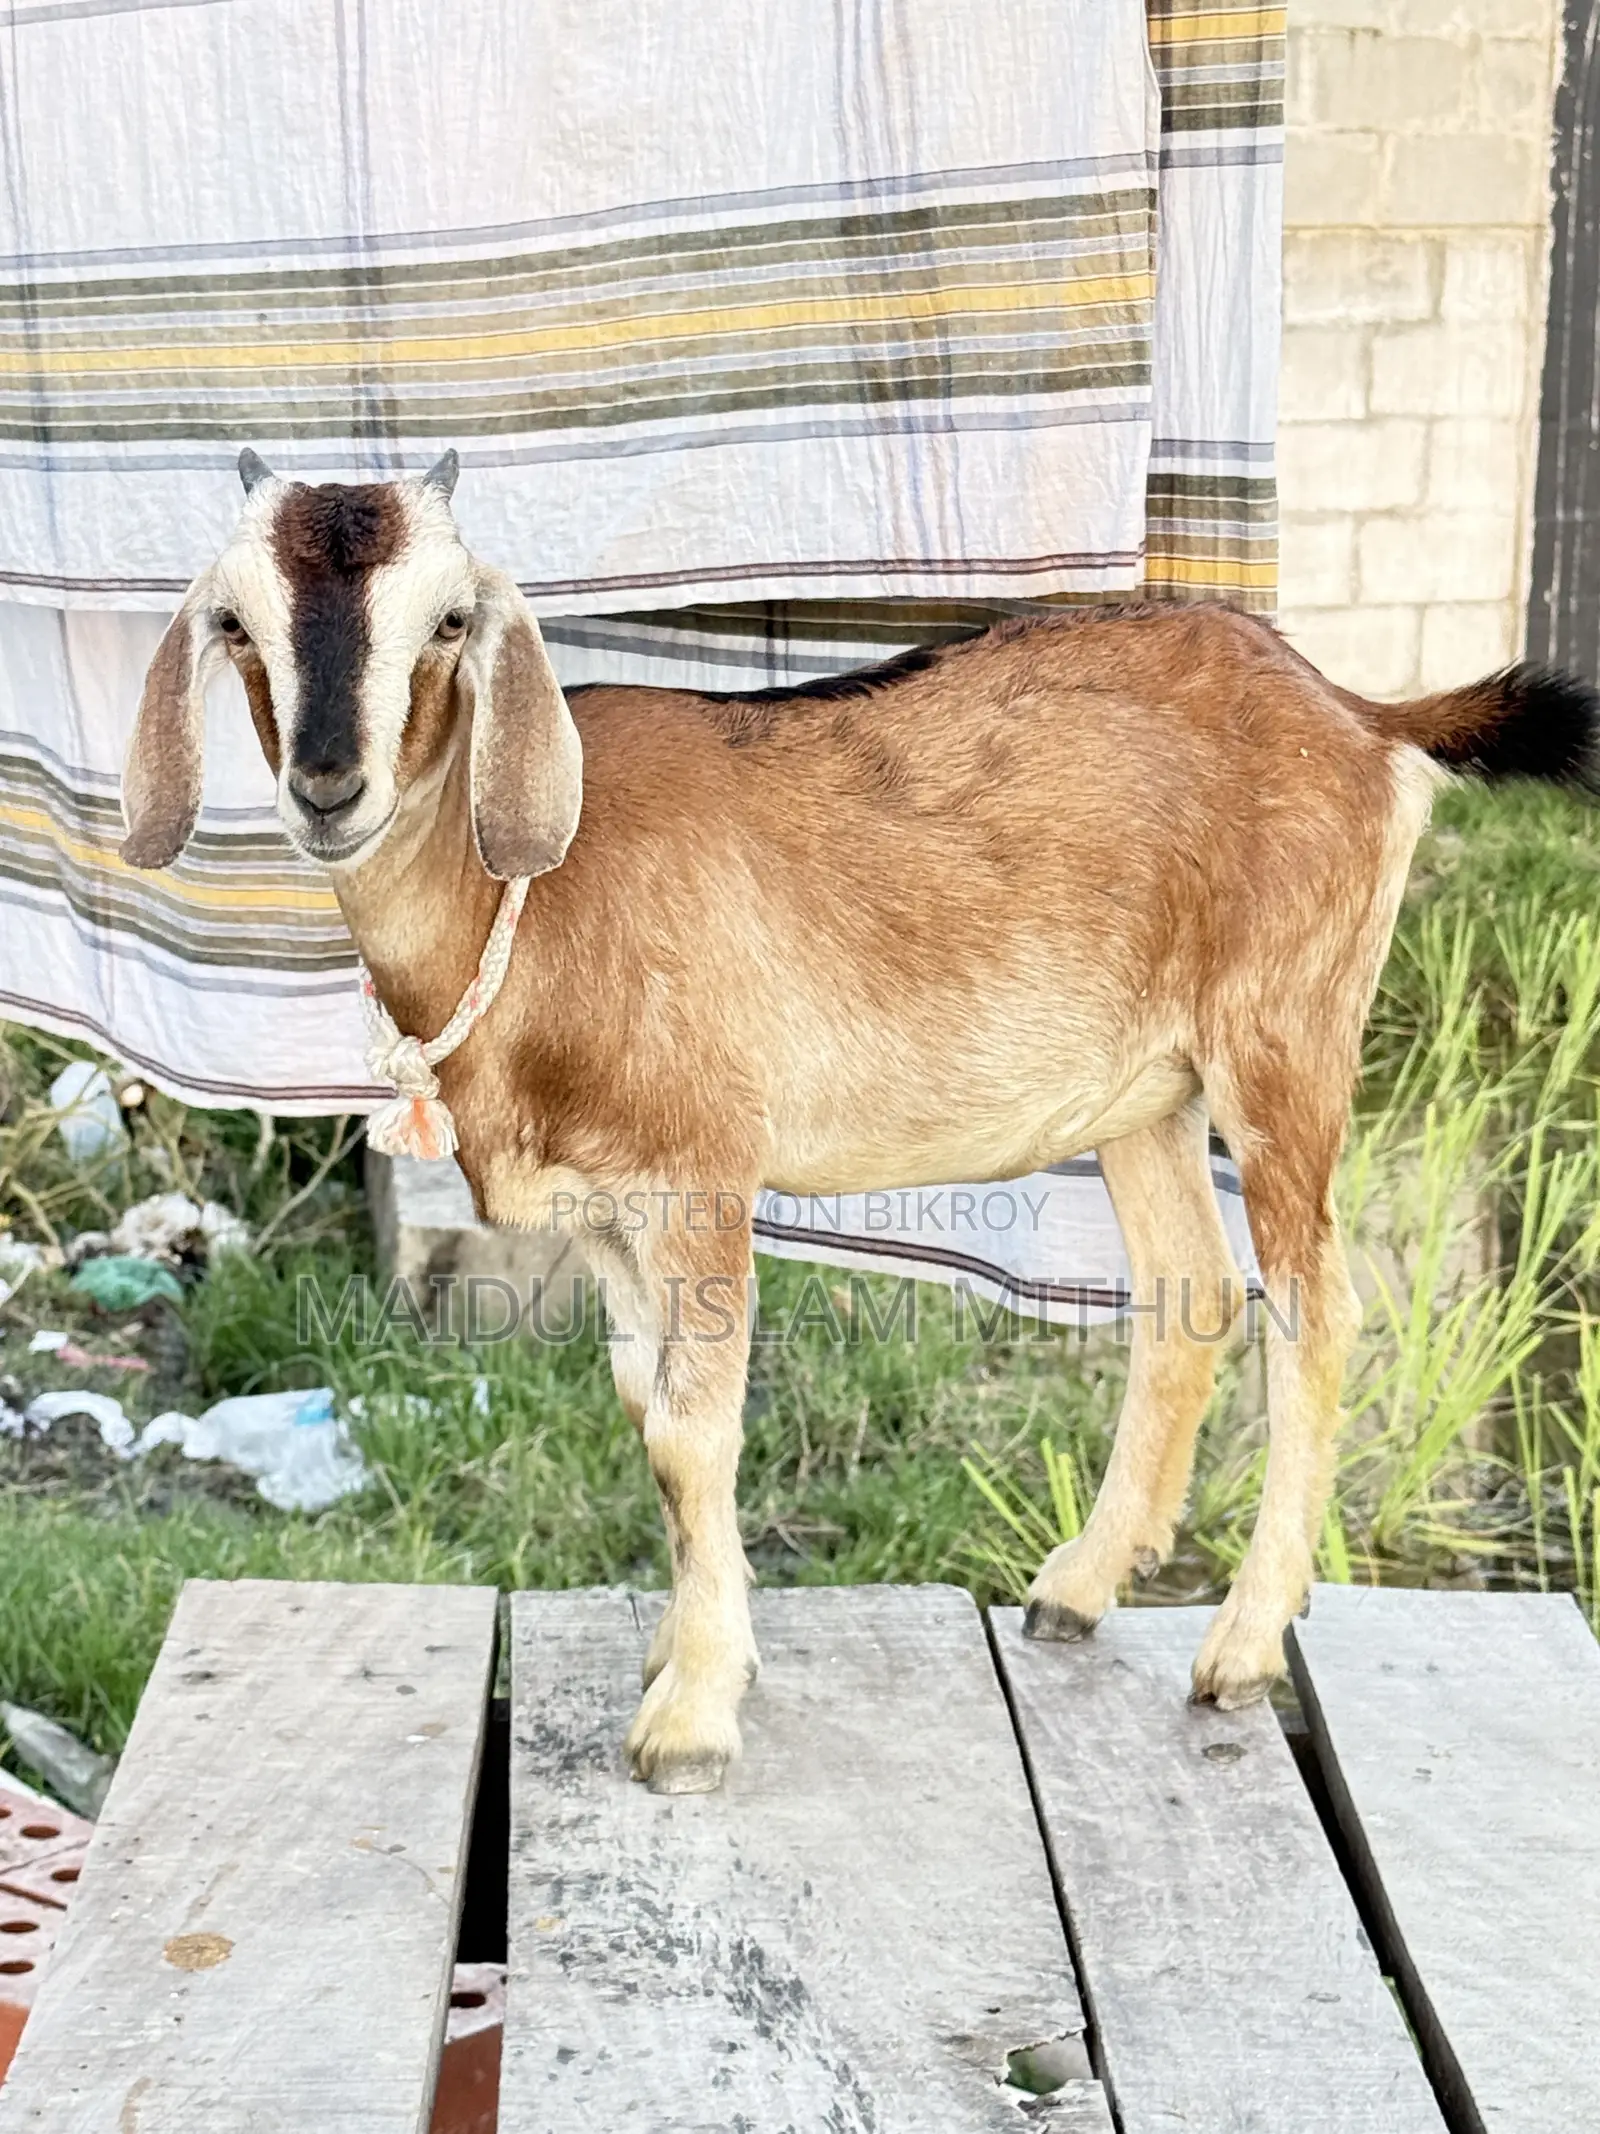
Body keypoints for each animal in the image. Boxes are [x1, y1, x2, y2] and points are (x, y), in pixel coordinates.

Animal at [122, 451, 1600, 1793]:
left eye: (446, 621)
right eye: (238, 621)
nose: (330, 786)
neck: (529, 906)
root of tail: (1354, 708)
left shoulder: (703, 1177)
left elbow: (691, 1431)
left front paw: (689, 1719)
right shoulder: (603, 1214)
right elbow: (644, 1413)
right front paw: (693, 1645)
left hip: (1285, 1042)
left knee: (1319, 1309)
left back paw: (1238, 1646)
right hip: (1149, 1089)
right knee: (1192, 1290)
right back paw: (1078, 1587)